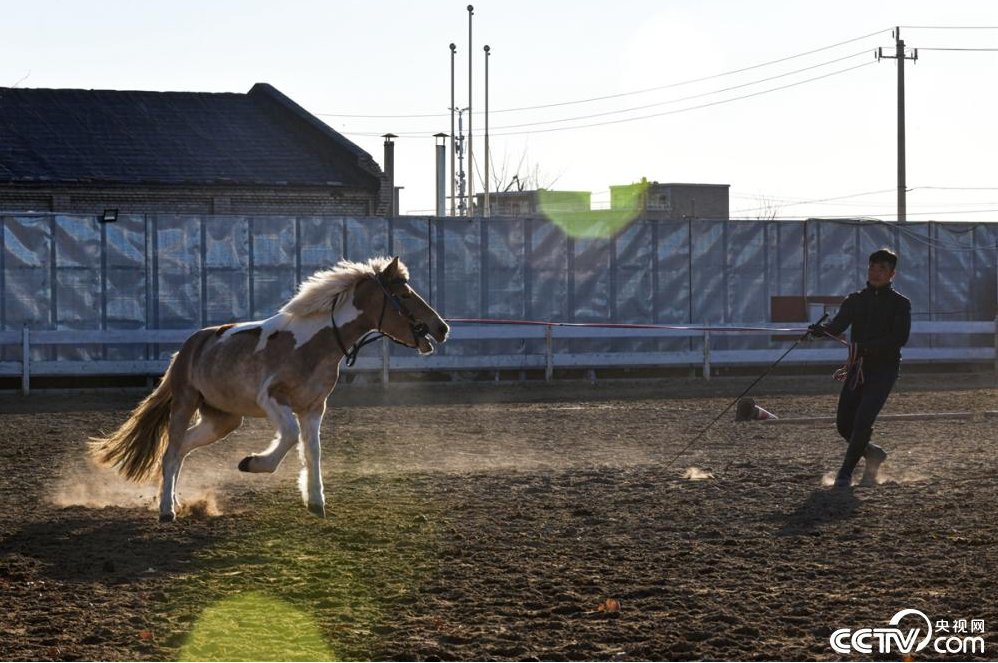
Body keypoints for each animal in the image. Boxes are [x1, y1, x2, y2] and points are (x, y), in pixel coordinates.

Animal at [92, 256, 452, 520]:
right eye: (404, 295)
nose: (442, 328)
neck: (315, 343)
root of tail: (188, 347)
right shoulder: (272, 399)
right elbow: (290, 436)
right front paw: (252, 464)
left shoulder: (314, 407)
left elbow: (312, 450)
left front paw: (316, 502)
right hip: (185, 402)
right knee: (170, 451)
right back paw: (167, 510)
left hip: (223, 419)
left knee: (182, 449)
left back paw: (175, 501)